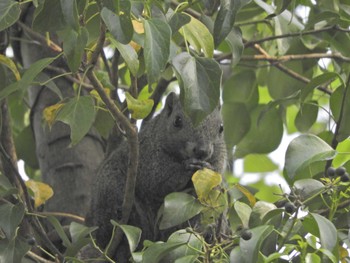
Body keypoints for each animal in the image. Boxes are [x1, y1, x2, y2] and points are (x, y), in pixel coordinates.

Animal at [85, 92, 227, 262]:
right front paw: (187, 167)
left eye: (221, 128)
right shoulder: (146, 156)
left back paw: (208, 234)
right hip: (109, 186)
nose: (202, 151)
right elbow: (156, 180)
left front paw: (208, 168)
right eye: (177, 121)